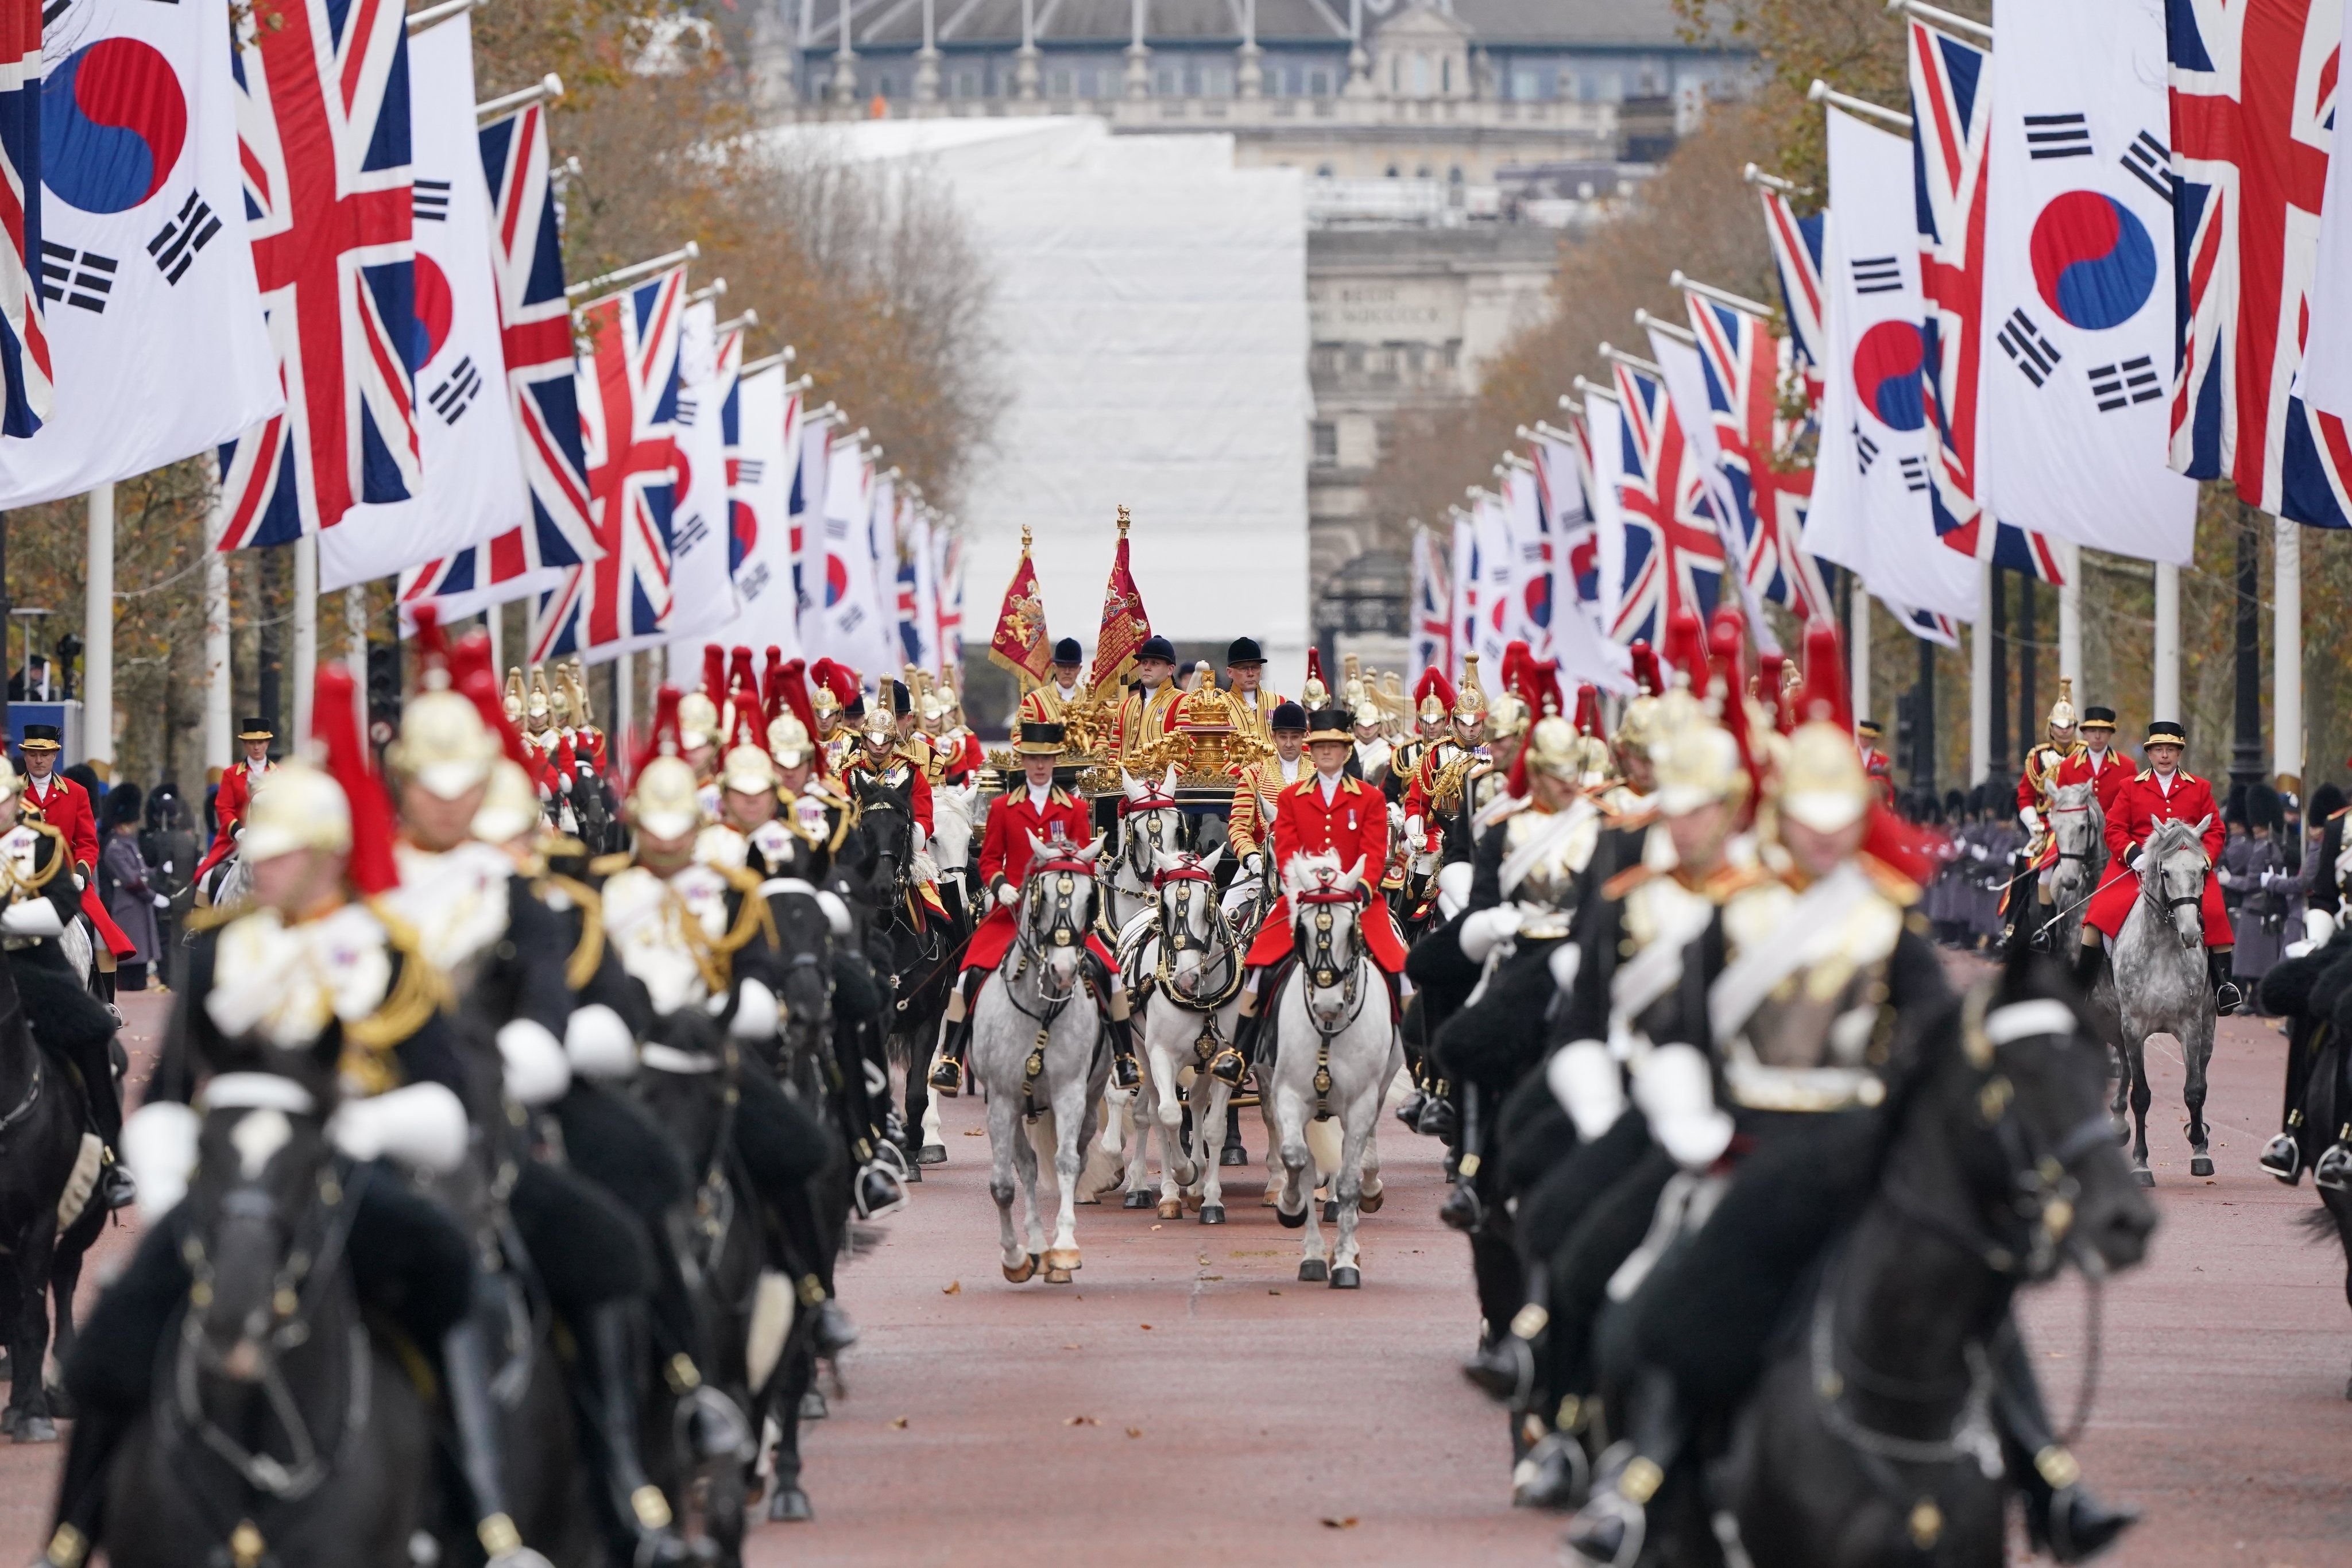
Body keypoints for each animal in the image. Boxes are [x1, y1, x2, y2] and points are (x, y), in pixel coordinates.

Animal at [1270, 860, 1392, 1288]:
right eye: (1302, 929)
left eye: (1351, 929)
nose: (1326, 1002)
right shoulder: (1289, 1096)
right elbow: (1296, 1160)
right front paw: (1290, 1209)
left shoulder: (1360, 1106)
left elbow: (1349, 1180)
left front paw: (1344, 1263)